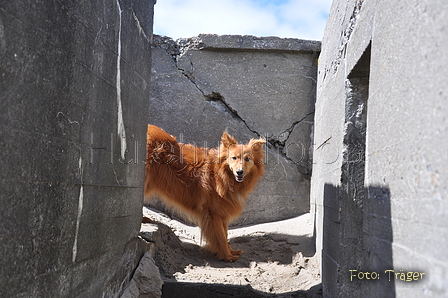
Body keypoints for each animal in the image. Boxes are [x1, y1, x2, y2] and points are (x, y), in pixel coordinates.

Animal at [144, 124, 266, 262]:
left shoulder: (222, 211)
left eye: (247, 159)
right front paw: (227, 256)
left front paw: (231, 251)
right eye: (234, 158)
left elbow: (225, 234)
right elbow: (221, 237)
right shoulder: (213, 213)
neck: (220, 174)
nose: (239, 172)